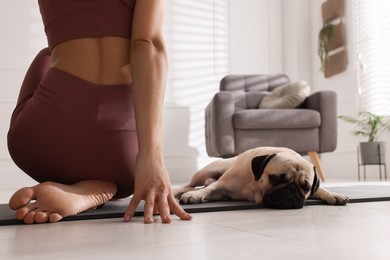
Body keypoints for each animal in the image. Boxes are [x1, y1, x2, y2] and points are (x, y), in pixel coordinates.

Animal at [172, 146, 348, 209]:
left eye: (305, 188)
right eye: (276, 179)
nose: (292, 189)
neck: (255, 188)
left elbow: (321, 189)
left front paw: (334, 195)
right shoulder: (220, 187)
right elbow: (209, 188)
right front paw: (195, 196)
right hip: (205, 172)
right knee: (190, 186)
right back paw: (178, 192)